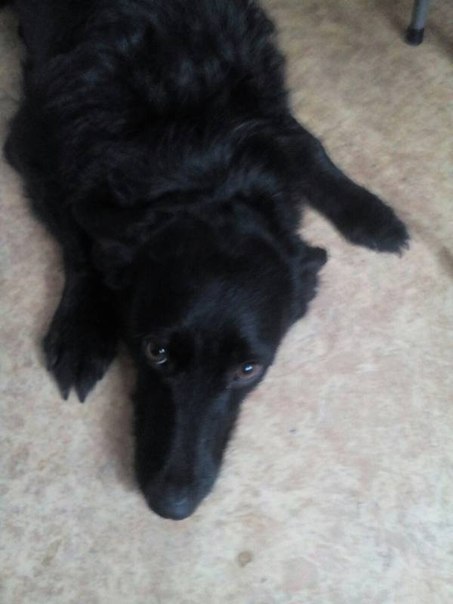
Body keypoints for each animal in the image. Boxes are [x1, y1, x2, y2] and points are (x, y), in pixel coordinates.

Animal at [3, 0, 408, 520]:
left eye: (248, 370)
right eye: (155, 352)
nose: (172, 507)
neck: (192, 145)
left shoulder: (267, 116)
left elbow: (310, 147)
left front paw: (370, 213)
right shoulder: (30, 147)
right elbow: (81, 243)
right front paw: (83, 330)